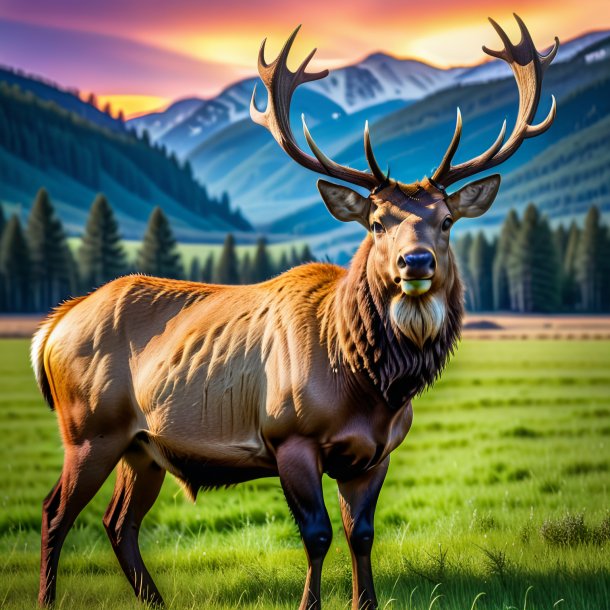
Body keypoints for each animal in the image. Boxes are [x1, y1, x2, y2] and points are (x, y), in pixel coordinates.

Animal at [33, 13, 556, 608]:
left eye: (446, 220)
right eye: (376, 221)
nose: (415, 261)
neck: (369, 385)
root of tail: (52, 326)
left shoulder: (376, 453)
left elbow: (361, 533)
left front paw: (364, 601)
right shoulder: (289, 437)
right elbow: (317, 534)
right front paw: (310, 602)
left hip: (142, 446)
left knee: (119, 523)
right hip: (88, 430)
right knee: (56, 513)